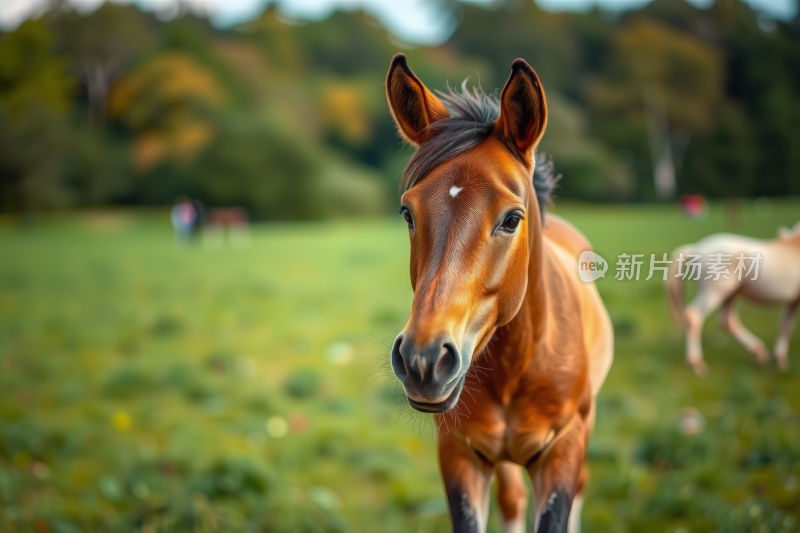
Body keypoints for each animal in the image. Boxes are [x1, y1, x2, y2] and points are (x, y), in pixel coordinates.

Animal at [386, 55, 612, 532]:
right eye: (407, 212)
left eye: (512, 219)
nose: (423, 361)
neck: (518, 362)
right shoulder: (458, 453)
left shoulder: (564, 449)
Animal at [664, 219, 800, 374]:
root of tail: (695, 249)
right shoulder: (795, 300)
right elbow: (787, 326)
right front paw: (781, 362)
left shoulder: (793, 301)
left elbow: (784, 325)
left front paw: (779, 360)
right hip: (714, 293)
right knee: (694, 316)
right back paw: (696, 363)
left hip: (730, 294)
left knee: (727, 321)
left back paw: (759, 353)